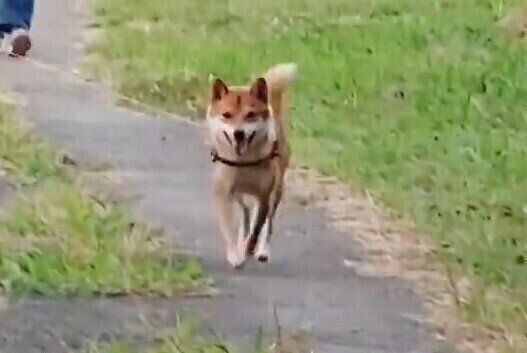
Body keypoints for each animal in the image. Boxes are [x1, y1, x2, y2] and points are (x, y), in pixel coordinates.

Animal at [205, 62, 296, 266]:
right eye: (227, 115)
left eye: (251, 115)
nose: (238, 133)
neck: (244, 162)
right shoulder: (222, 193)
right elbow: (229, 228)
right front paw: (235, 254)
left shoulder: (263, 196)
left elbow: (257, 228)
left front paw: (249, 249)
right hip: (240, 196)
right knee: (245, 215)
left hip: (276, 190)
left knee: (268, 224)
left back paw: (261, 251)